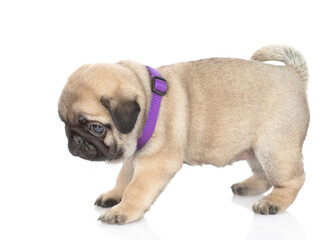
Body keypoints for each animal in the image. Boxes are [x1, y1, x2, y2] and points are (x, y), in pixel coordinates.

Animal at [58, 45, 310, 225]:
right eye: (64, 123)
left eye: (96, 128)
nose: (75, 140)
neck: (148, 102)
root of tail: (292, 75)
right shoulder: (134, 155)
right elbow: (124, 177)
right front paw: (114, 195)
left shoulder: (156, 163)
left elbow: (136, 188)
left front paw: (123, 210)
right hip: (255, 149)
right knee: (263, 175)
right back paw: (247, 187)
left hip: (274, 149)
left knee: (292, 180)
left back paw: (272, 202)